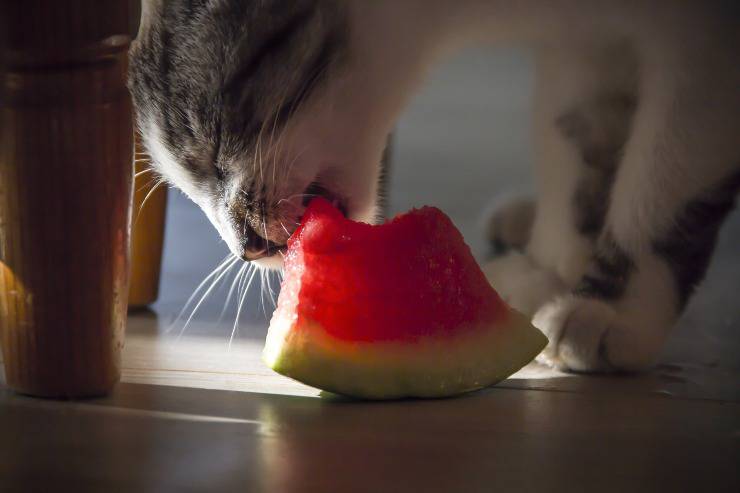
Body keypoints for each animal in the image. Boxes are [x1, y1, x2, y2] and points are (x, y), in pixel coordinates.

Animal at [129, 0, 740, 372]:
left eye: (213, 147)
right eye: (188, 189)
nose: (246, 248)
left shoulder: (699, 54)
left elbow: (657, 189)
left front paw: (613, 307)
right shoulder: (581, 56)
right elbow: (572, 168)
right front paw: (553, 270)